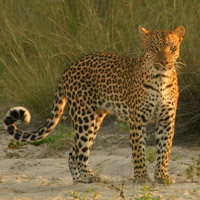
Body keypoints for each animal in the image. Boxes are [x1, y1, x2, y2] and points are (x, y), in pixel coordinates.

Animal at [3, 25, 185, 184]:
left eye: (172, 48)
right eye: (155, 49)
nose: (165, 62)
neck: (160, 80)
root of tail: (70, 66)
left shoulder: (166, 120)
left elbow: (164, 150)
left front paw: (161, 176)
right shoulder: (137, 120)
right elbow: (139, 150)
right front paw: (141, 178)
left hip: (95, 118)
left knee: (74, 151)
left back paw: (79, 180)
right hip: (84, 117)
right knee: (79, 152)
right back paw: (90, 177)